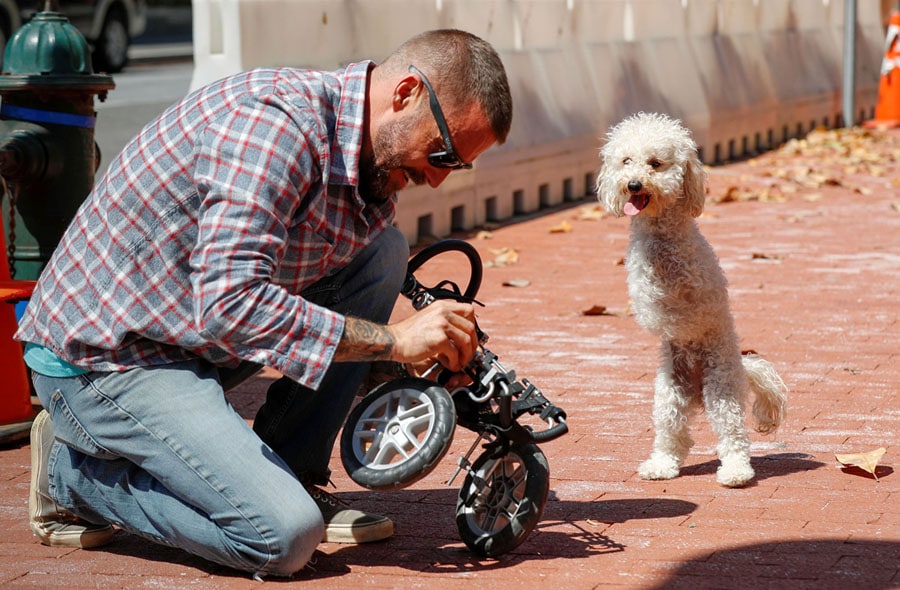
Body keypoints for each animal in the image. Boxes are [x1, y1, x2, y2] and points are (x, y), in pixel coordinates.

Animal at [596, 113, 788, 488]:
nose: (634, 184)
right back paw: (661, 465)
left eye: (655, 163)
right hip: (669, 396)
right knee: (674, 437)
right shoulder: (644, 290)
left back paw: (736, 472)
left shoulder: (699, 288)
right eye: (626, 161)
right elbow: (650, 301)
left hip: (721, 387)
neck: (660, 237)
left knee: (733, 435)